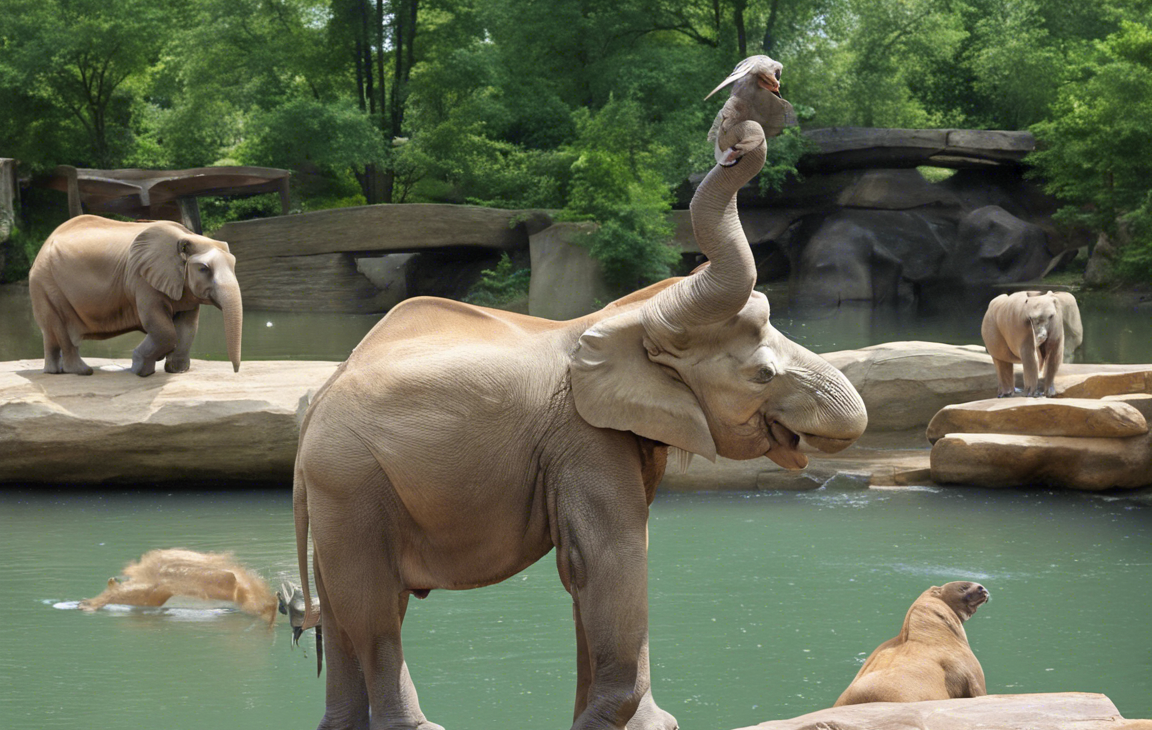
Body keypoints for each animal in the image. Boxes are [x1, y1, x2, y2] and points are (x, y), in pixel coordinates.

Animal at [28, 213, 243, 375]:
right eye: (204, 269)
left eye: (234, 264)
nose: (235, 371)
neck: (187, 236)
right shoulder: (141, 280)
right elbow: (162, 327)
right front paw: (141, 369)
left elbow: (188, 326)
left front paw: (176, 370)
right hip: (45, 284)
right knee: (60, 328)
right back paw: (81, 371)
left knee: (52, 334)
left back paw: (54, 371)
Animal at [288, 54, 866, 727]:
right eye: (762, 376)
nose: (736, 138)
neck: (625, 313)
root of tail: (315, 407)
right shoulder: (583, 439)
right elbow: (608, 559)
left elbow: (594, 568)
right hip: (351, 479)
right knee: (375, 609)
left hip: (342, 487)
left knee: (347, 614)